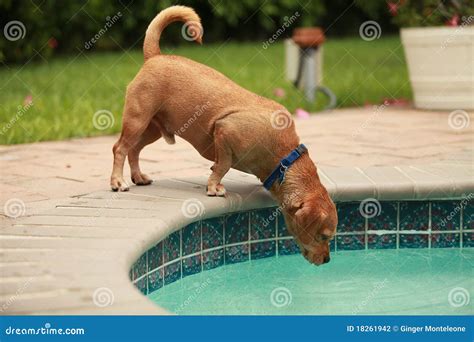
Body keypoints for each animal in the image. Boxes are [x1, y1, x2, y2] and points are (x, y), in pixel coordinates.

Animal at [110, 6, 336, 268]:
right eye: (323, 236)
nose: (328, 259)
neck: (284, 159)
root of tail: (155, 56)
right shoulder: (224, 131)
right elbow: (223, 165)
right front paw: (214, 186)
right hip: (137, 120)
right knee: (120, 148)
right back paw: (118, 181)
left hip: (152, 129)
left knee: (134, 150)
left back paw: (137, 176)